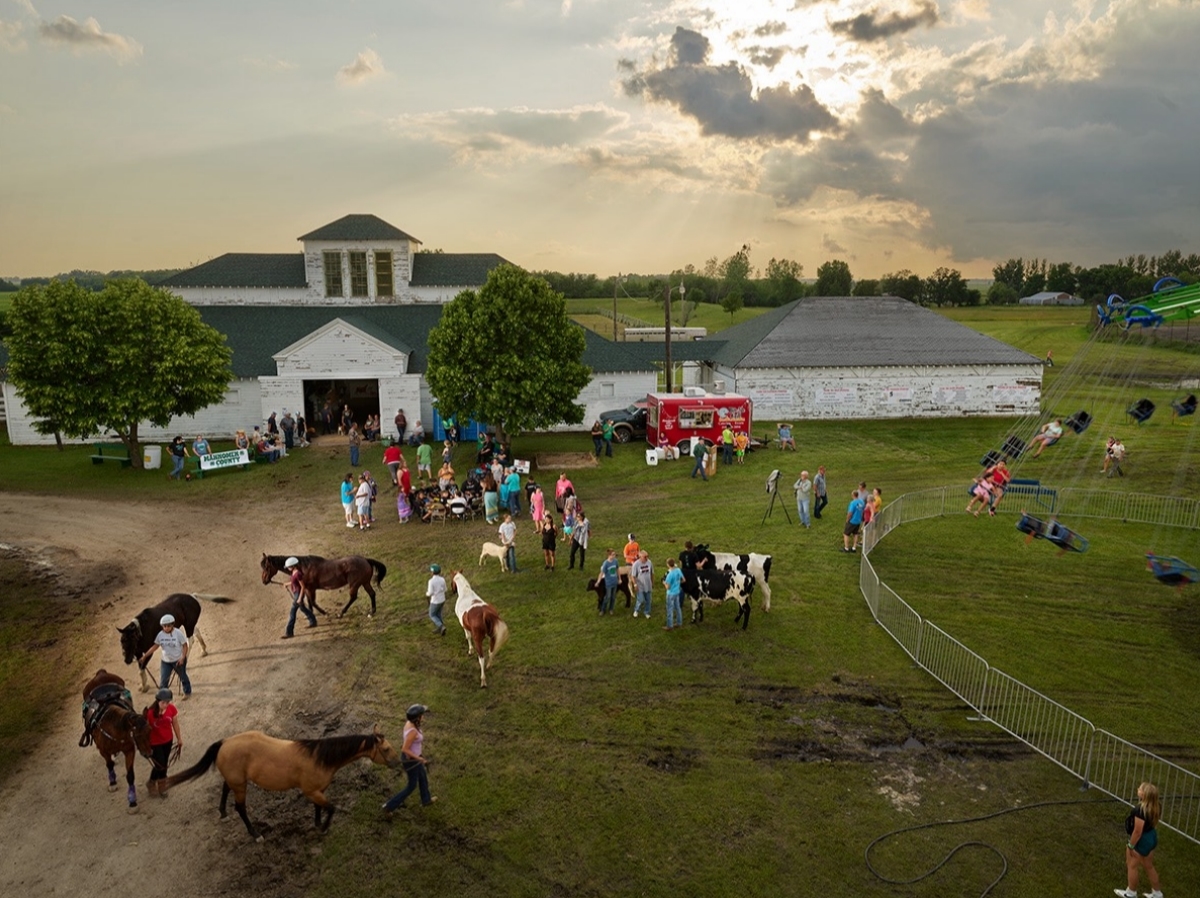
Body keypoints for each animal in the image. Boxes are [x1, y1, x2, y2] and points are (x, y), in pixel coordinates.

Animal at [79, 672, 159, 811]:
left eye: (150, 730)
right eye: (137, 734)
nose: (149, 753)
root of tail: (101, 674)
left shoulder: (129, 750)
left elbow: (130, 775)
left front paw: (132, 802)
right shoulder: (103, 751)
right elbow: (109, 764)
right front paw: (112, 783)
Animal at [160, 725, 398, 840]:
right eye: (386, 749)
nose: (398, 762)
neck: (320, 757)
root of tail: (225, 742)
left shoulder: (317, 791)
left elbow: (319, 808)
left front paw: (318, 824)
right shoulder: (312, 791)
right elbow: (331, 808)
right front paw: (323, 828)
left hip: (236, 780)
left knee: (226, 789)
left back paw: (223, 813)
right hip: (241, 786)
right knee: (240, 807)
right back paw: (255, 834)